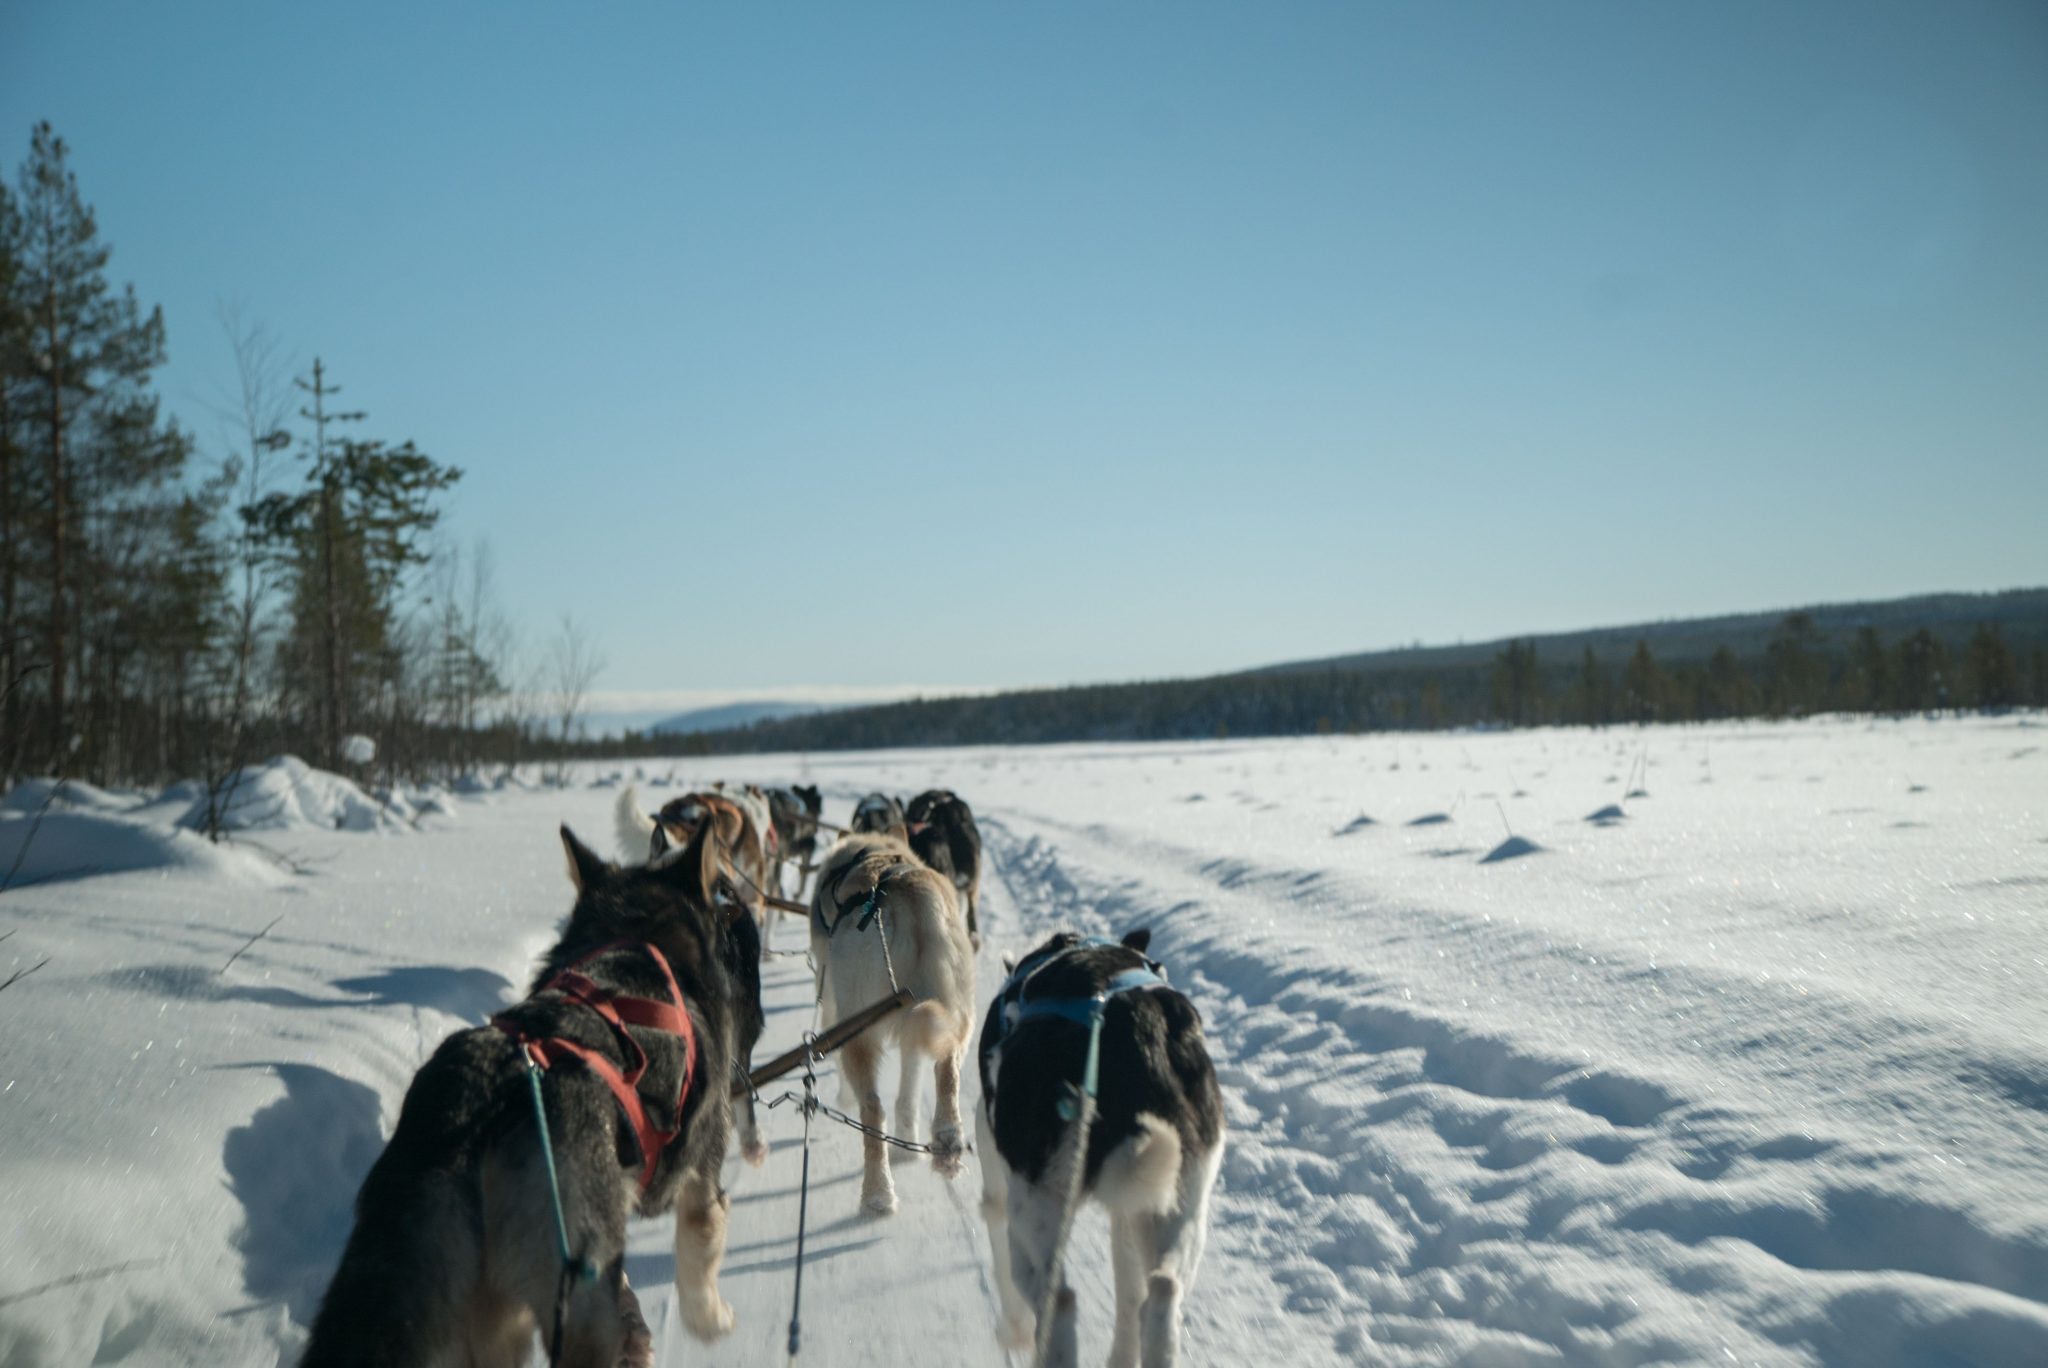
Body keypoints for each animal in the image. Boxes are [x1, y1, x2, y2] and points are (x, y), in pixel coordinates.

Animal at [299, 823, 749, 1368]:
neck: (636, 936)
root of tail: (474, 1117)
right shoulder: (702, 1180)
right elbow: (700, 1263)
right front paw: (713, 1321)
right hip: (573, 1300)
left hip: (485, 1312)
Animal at [806, 827, 974, 1212]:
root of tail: (913, 896)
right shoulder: (913, 1029)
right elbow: (909, 1092)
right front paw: (907, 1141)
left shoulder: (833, 1003)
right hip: (951, 1015)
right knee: (947, 1071)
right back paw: (946, 1141)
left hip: (858, 1030)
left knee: (873, 1109)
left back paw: (877, 1193)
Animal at [974, 929, 1212, 1368]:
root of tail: (1134, 1033)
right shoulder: (1129, 1209)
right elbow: (1130, 1291)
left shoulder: (998, 1186)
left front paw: (1013, 1331)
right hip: (1182, 1204)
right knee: (1162, 1290)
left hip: (1033, 1218)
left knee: (1059, 1301)